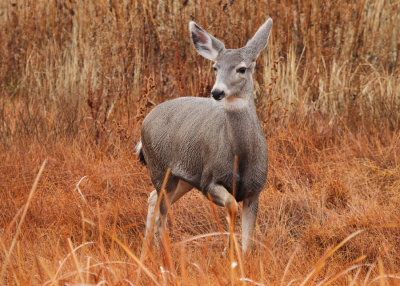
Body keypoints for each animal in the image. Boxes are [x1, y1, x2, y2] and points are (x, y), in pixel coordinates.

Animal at [137, 17, 272, 251]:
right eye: (215, 67)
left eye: (242, 68)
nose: (217, 92)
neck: (240, 158)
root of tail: (147, 118)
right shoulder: (208, 180)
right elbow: (231, 205)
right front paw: (228, 250)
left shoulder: (255, 190)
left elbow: (248, 241)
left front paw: (240, 255)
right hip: (159, 169)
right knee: (161, 208)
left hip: (183, 178)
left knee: (153, 198)